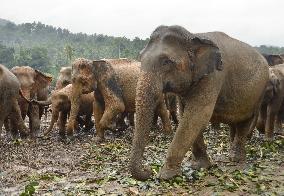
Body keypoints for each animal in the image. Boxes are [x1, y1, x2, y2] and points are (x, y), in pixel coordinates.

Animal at [130, 25, 270, 181]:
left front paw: (166, 175)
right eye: (140, 58)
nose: (148, 170)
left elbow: (196, 116)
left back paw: (236, 159)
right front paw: (200, 166)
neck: (192, 36)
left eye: (166, 62)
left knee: (245, 123)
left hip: (258, 93)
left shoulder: (213, 76)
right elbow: (187, 115)